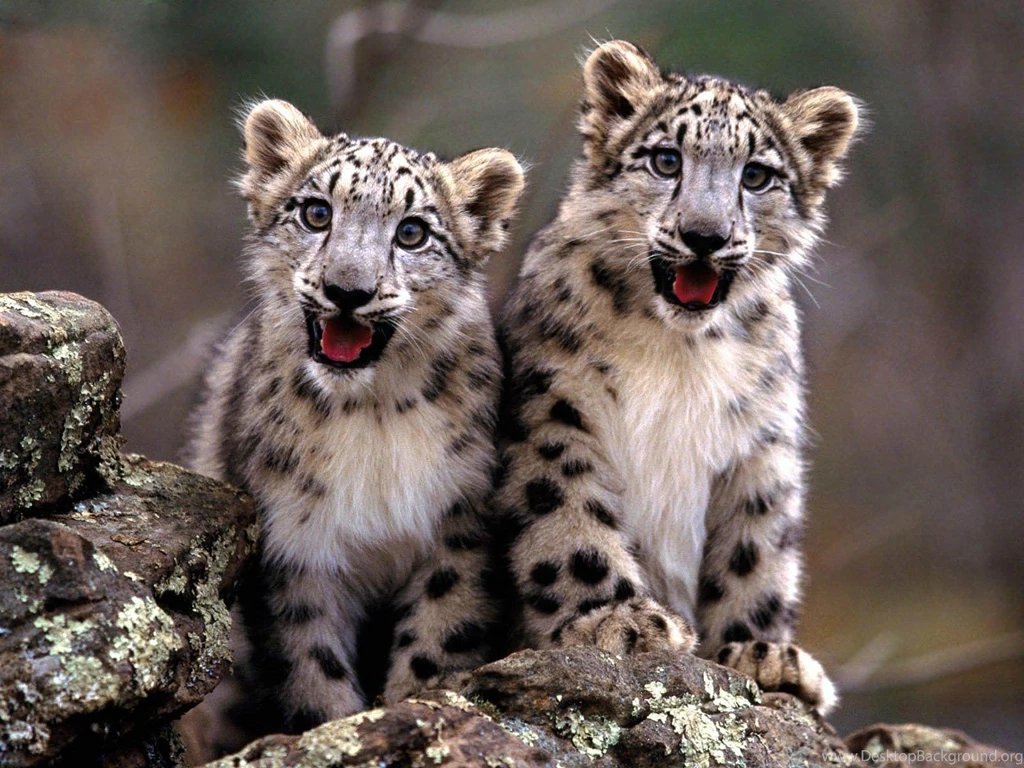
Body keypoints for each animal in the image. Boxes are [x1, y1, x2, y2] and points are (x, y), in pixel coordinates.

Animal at [178, 98, 524, 758]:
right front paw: (336, 731)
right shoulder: (295, 546)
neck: (372, 416)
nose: (347, 291)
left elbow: (437, 638)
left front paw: (413, 707)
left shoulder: (458, 526)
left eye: (412, 232)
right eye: (317, 212)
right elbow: (312, 667)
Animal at [495, 40, 863, 714]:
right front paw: (616, 620)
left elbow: (755, 549)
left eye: (757, 175)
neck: (679, 352)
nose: (705, 235)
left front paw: (761, 653)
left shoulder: (761, 441)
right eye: (666, 159)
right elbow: (567, 517)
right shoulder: (552, 410)